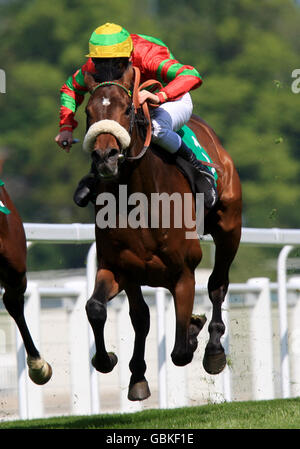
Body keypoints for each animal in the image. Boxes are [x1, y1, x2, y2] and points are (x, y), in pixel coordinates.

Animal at [83, 64, 243, 400]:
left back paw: (213, 349)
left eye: (127, 109)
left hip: (229, 229)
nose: (105, 157)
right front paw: (118, 365)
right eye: (89, 112)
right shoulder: (120, 268)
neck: (139, 199)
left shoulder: (183, 272)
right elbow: (106, 310)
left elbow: (180, 350)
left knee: (217, 285)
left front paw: (194, 331)